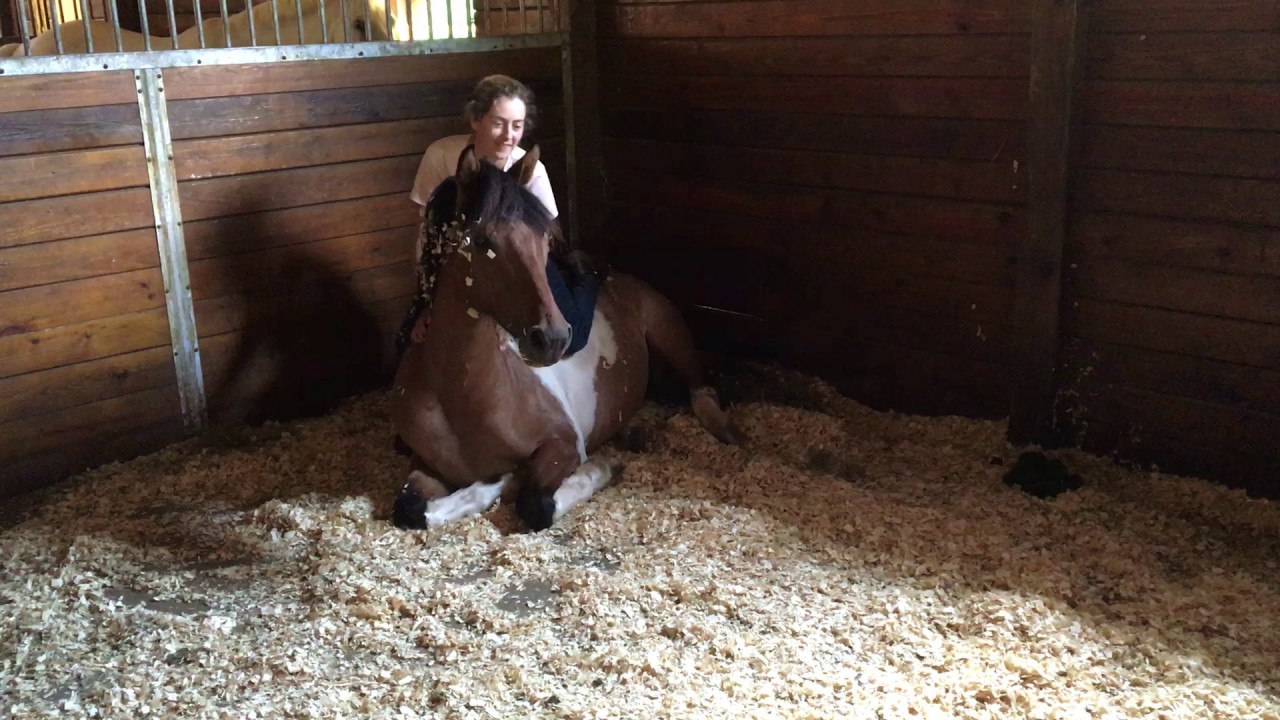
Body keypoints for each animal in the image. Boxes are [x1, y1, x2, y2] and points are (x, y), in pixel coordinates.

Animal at [389, 144, 744, 532]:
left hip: (671, 336)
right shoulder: (423, 464)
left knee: (700, 389)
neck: (459, 399)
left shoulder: (563, 445)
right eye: (481, 241)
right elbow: (409, 509)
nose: (553, 338)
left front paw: (600, 468)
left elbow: (535, 504)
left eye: (544, 240)